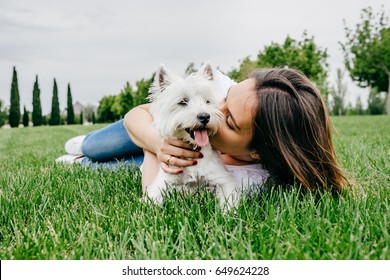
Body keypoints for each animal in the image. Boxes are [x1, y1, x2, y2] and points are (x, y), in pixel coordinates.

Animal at [144, 61, 239, 210]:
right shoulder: (165, 181)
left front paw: (227, 214)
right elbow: (153, 199)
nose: (205, 116)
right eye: (182, 102)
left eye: (207, 101)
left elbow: (228, 201)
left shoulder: (223, 180)